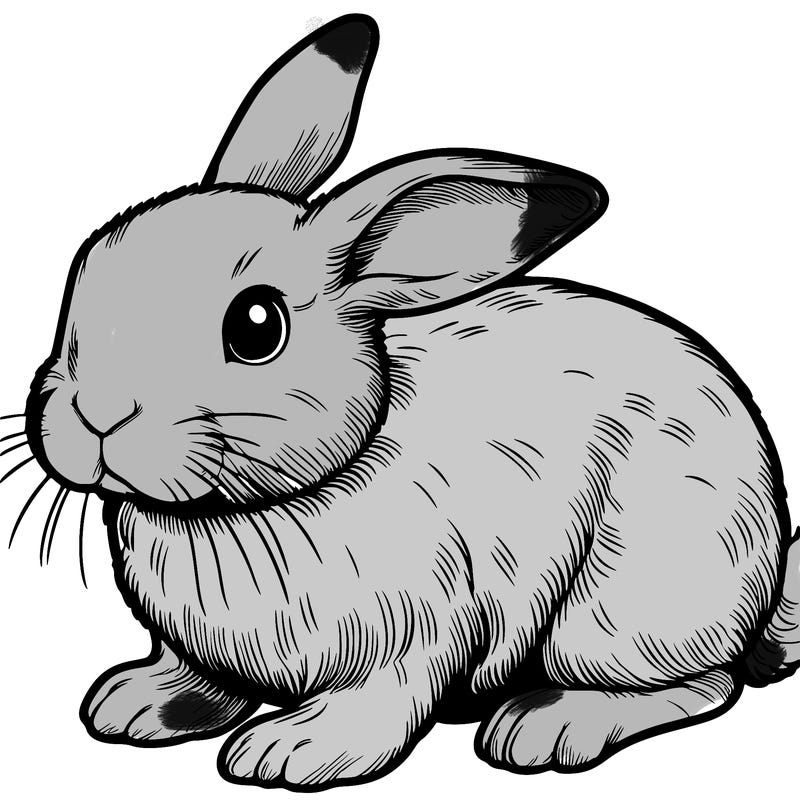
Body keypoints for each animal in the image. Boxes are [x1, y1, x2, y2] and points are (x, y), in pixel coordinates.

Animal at [14, 11, 800, 792]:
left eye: (256, 326)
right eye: (86, 267)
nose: (96, 414)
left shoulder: (417, 631)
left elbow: (380, 702)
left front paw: (291, 751)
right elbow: (198, 679)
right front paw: (137, 704)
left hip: (617, 615)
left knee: (705, 684)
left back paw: (545, 726)